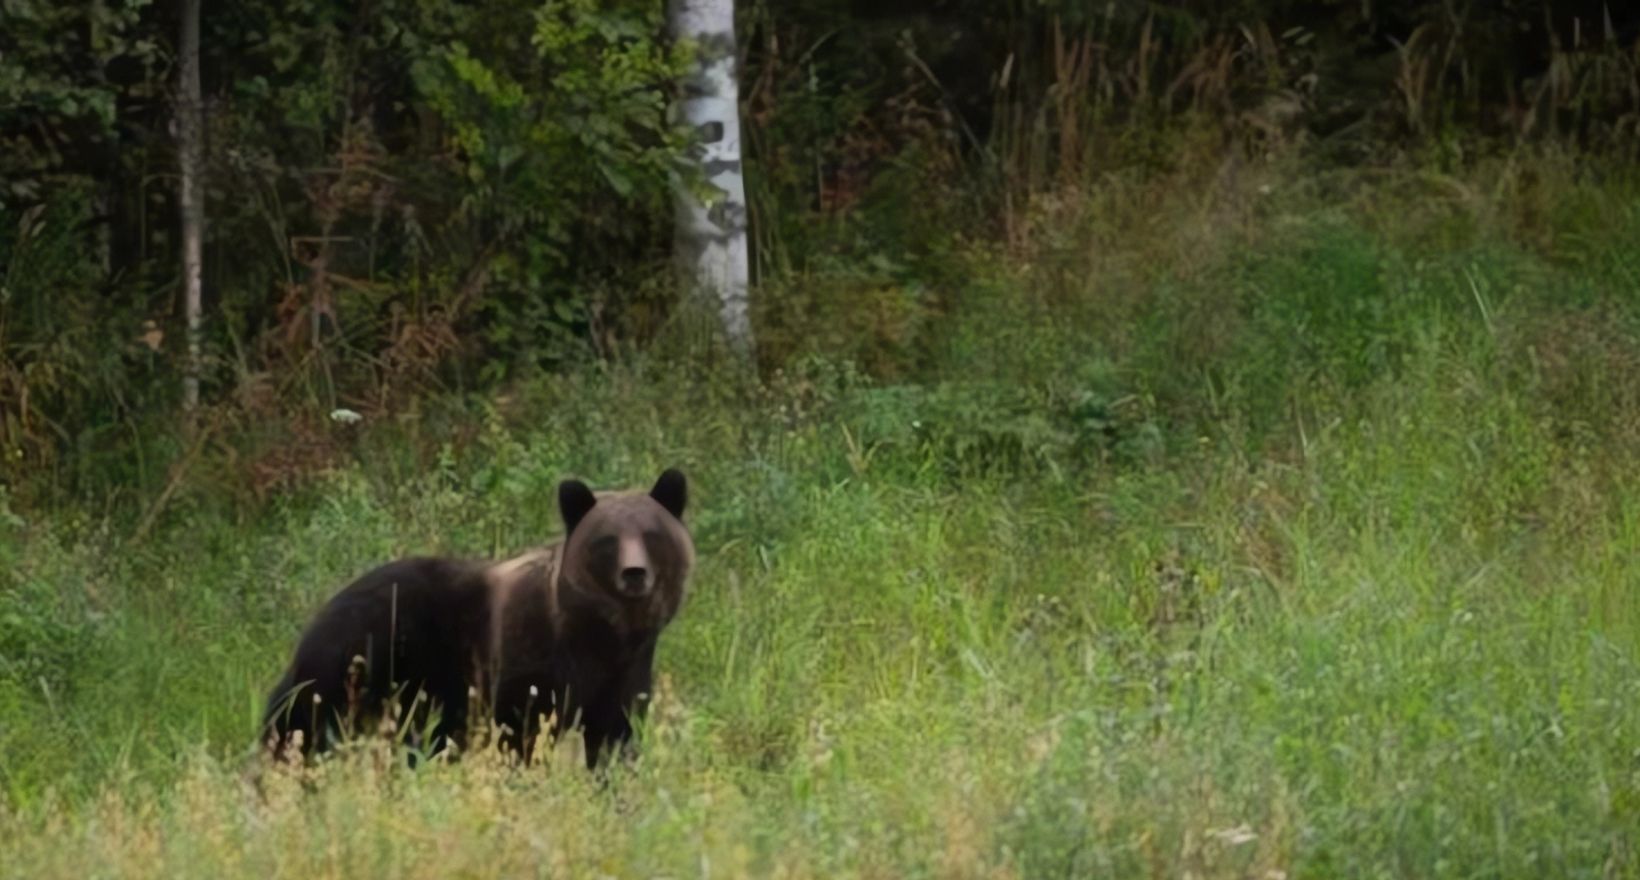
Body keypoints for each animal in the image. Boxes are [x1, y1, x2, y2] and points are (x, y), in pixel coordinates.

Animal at [260, 468, 692, 763]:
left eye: (651, 535)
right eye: (608, 540)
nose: (634, 573)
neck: (599, 633)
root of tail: (323, 609)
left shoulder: (625, 672)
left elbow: (615, 736)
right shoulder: (527, 660)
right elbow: (521, 729)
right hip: (360, 658)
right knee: (299, 720)